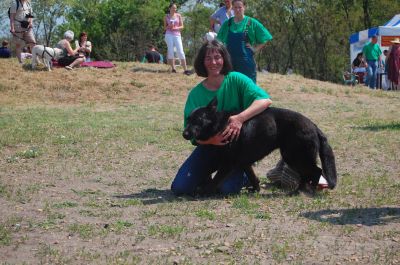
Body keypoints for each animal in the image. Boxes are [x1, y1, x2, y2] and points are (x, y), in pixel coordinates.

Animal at [184, 98, 338, 193]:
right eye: (188, 119)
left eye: (198, 119)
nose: (184, 134)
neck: (220, 125)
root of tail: (313, 125)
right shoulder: (244, 163)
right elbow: (252, 177)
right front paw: (255, 189)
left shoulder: (228, 163)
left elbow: (215, 180)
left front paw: (205, 191)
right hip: (293, 158)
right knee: (308, 174)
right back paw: (299, 189)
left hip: (295, 157)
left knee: (317, 171)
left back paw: (308, 189)